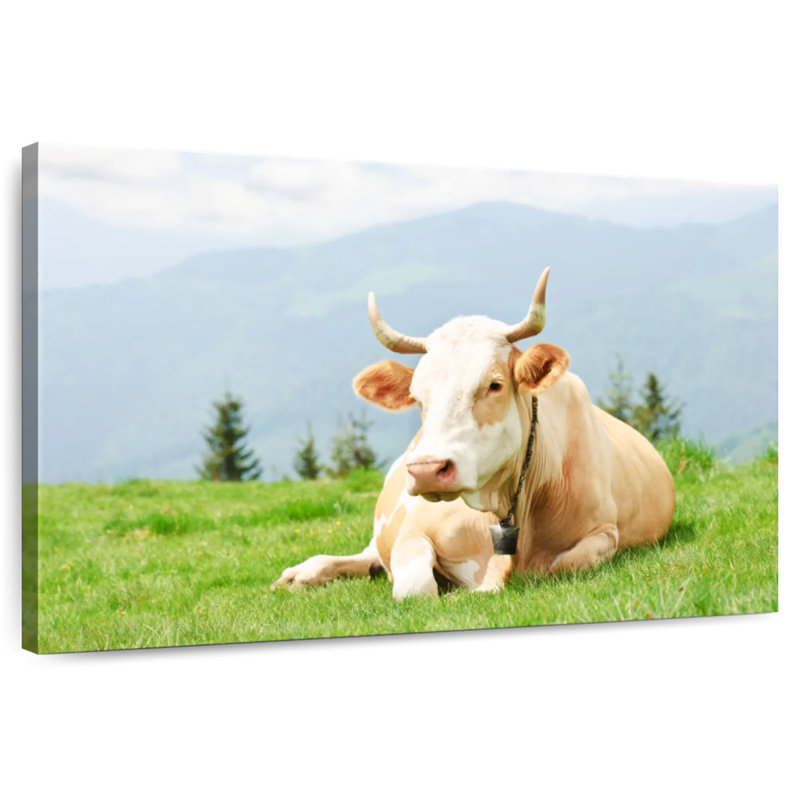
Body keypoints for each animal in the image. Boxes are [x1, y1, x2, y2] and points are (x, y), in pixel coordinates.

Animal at [272, 268, 676, 599]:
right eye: (417, 397)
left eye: (494, 385)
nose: (426, 470)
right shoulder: (412, 531)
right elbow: (415, 586)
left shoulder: (604, 532)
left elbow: (562, 566)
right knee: (366, 556)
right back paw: (303, 573)